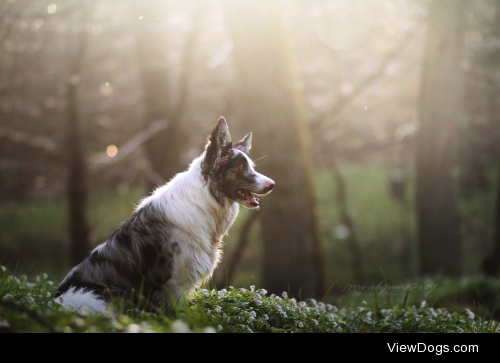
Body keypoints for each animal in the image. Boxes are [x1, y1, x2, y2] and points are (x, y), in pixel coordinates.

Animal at [54, 118, 278, 314]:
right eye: (240, 167)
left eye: (251, 165)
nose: (272, 185)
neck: (205, 198)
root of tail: (55, 300)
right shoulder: (173, 281)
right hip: (97, 296)